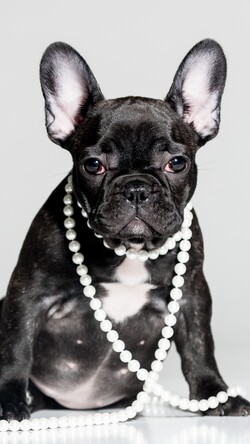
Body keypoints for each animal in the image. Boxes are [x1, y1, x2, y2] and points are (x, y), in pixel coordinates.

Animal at [0, 39, 250, 420]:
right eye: (93, 165)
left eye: (177, 163)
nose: (135, 188)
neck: (130, 248)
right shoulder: (28, 292)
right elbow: (16, 347)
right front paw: (9, 401)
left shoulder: (192, 295)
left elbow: (200, 347)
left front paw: (216, 395)